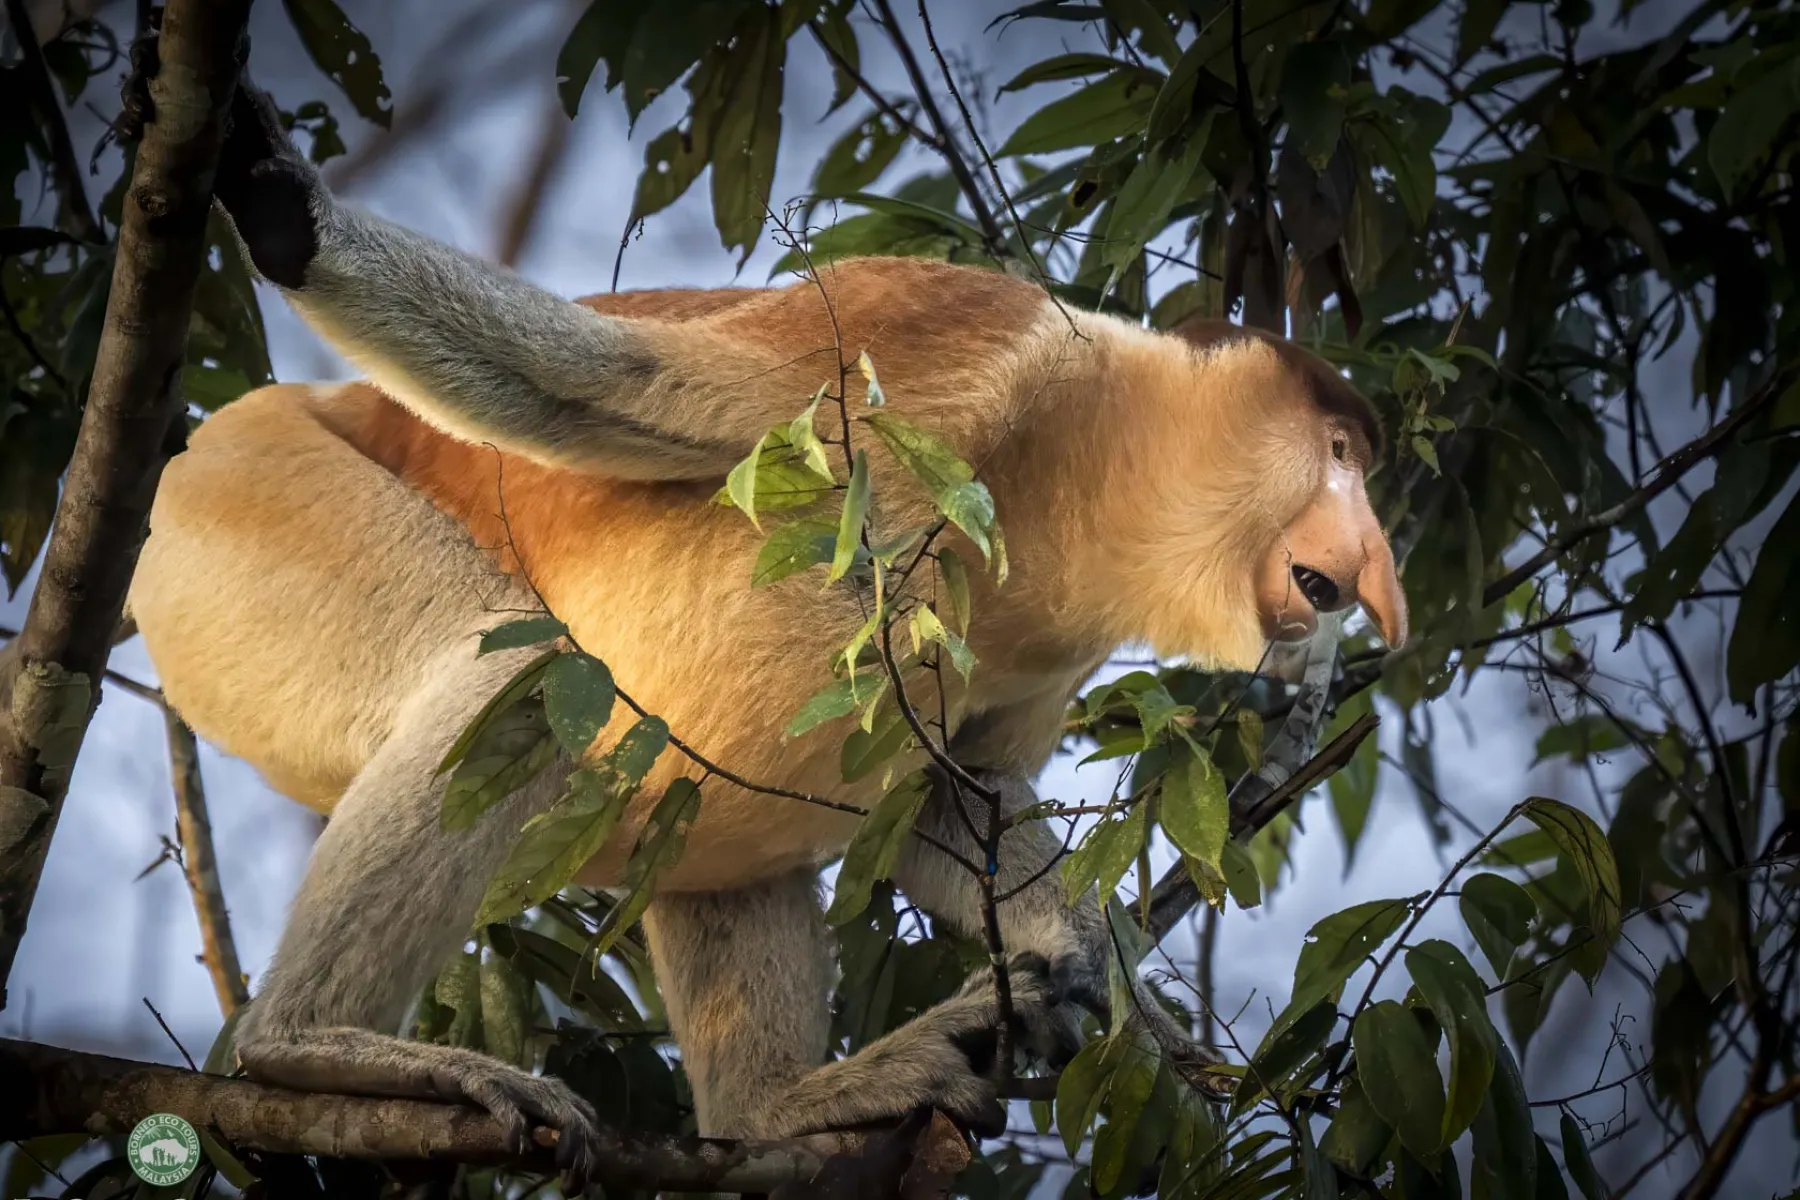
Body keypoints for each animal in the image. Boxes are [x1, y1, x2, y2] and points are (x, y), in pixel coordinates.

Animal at [122, 77, 1408, 1185]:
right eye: (1341, 453)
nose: (1378, 575)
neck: (1080, 469)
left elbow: (955, 797)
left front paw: (1107, 982)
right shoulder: (952, 330)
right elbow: (621, 384)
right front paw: (281, 206)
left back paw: (784, 1103)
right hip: (238, 513)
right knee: (528, 685)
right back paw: (310, 1046)